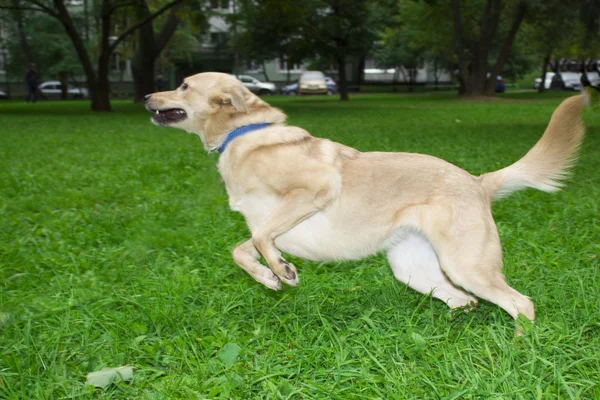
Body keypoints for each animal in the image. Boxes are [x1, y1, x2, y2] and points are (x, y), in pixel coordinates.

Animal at [144, 72, 584, 328]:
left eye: (183, 86)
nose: (147, 96)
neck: (243, 135)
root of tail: (477, 182)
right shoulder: (269, 227)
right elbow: (243, 248)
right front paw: (269, 277)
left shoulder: (314, 190)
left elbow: (260, 238)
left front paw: (280, 271)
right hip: (415, 270)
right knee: (465, 302)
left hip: (467, 264)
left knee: (520, 303)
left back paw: (521, 347)